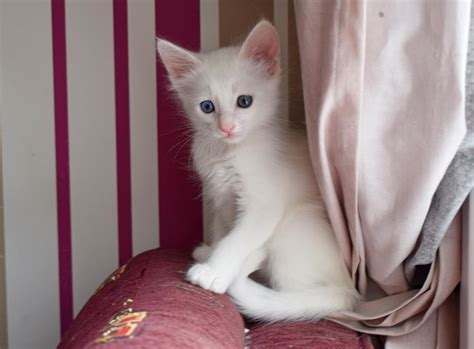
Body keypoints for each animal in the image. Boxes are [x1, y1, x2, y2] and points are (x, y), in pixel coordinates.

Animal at [157, 19, 358, 320]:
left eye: (244, 101)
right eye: (207, 106)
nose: (226, 127)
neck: (228, 153)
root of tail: (348, 290)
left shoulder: (264, 204)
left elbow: (237, 239)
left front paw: (213, 272)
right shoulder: (219, 197)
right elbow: (223, 232)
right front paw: (213, 253)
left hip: (294, 226)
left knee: (290, 294)